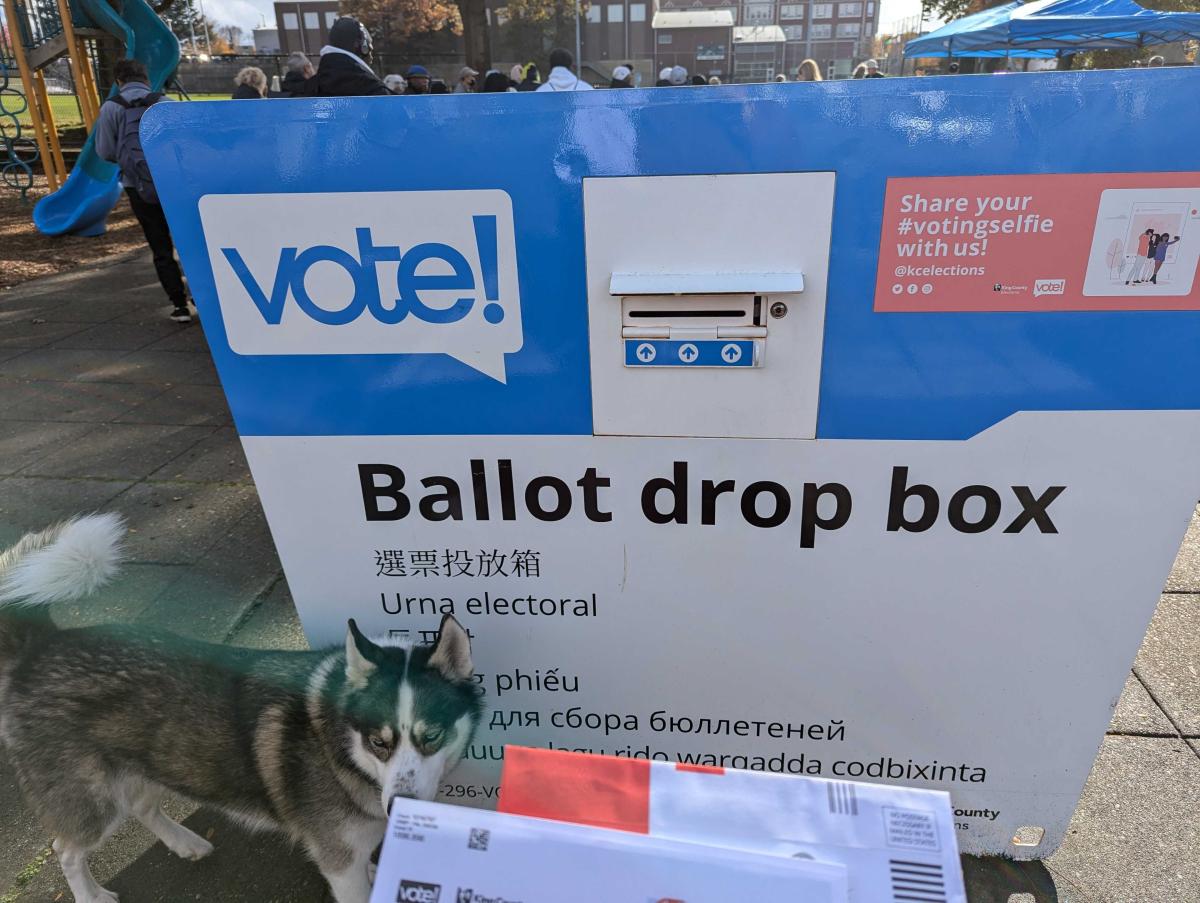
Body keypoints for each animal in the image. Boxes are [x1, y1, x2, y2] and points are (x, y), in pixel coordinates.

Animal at [2, 513, 487, 903]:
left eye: (431, 736)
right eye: (378, 741)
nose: (398, 806)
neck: (341, 752)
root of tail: (41, 645)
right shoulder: (338, 860)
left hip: (148, 763)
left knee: (142, 806)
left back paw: (185, 843)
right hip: (91, 800)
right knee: (65, 849)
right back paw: (91, 895)